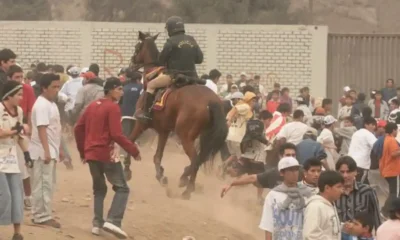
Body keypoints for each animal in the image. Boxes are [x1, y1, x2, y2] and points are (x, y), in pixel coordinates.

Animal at [128, 31, 228, 199]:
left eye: (137, 47)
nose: (130, 64)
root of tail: (211, 101)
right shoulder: (163, 131)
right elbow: (157, 157)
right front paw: (161, 177)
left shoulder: (141, 124)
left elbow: (129, 141)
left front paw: (126, 170)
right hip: (205, 136)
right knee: (200, 158)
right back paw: (184, 178)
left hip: (185, 135)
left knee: (195, 159)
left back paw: (188, 189)